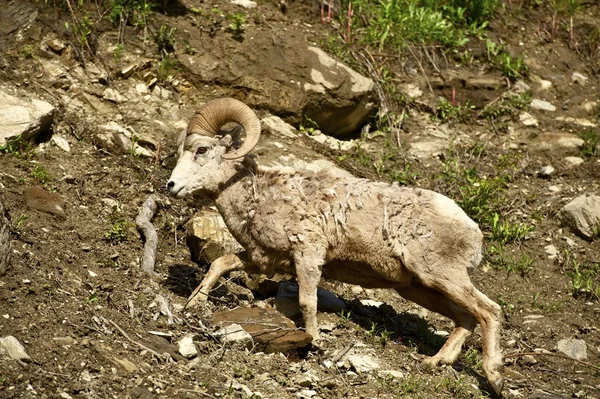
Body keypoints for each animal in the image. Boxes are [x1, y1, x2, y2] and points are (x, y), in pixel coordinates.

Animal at [166, 99, 504, 394]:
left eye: (201, 149)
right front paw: (194, 303)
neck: (261, 198)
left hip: (441, 275)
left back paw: (494, 377)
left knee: (489, 311)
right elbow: (220, 263)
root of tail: (472, 230)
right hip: (419, 288)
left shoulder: (307, 255)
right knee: (466, 319)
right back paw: (434, 362)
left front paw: (314, 340)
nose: (171, 186)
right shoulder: (261, 258)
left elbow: (307, 301)